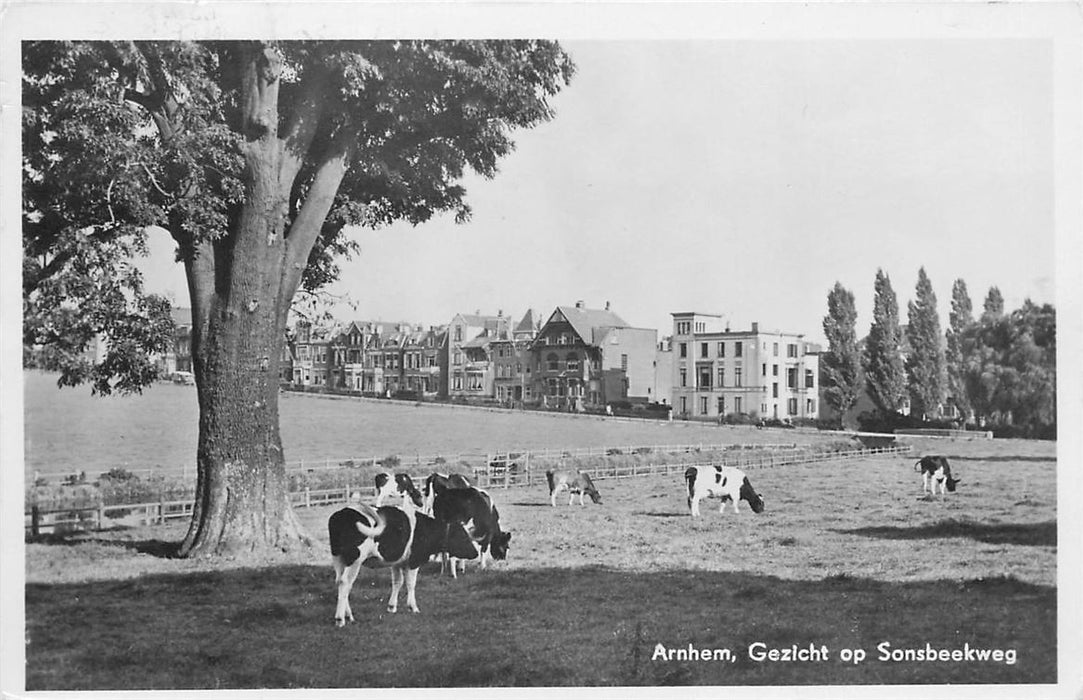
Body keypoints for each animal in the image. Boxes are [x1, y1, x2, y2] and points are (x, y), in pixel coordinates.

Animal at [327, 496, 476, 628]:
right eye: (463, 536)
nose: (475, 553)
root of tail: (340, 514)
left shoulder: (397, 562)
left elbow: (397, 582)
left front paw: (392, 607)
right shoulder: (414, 561)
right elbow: (411, 583)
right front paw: (413, 607)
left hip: (338, 558)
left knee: (339, 581)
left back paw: (349, 616)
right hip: (355, 560)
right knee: (345, 583)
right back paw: (340, 619)